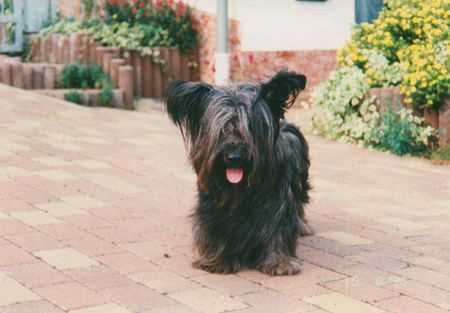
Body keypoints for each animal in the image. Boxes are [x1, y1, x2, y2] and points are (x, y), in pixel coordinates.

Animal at [165, 69, 312, 274]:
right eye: (221, 128)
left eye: (250, 125)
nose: (234, 157)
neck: (242, 191)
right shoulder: (212, 207)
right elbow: (216, 230)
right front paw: (216, 260)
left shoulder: (278, 205)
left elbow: (278, 229)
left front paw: (278, 262)